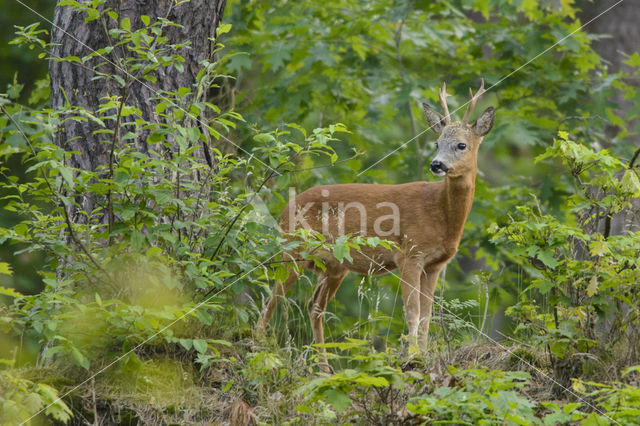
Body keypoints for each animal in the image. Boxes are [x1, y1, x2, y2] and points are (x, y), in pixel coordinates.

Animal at [255, 80, 496, 370]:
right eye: (437, 142)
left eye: (461, 145)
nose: (436, 164)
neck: (441, 214)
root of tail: (284, 210)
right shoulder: (409, 254)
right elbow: (413, 311)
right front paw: (412, 357)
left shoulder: (435, 264)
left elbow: (427, 315)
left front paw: (423, 356)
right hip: (295, 251)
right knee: (272, 300)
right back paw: (258, 350)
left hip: (334, 266)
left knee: (314, 306)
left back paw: (324, 368)